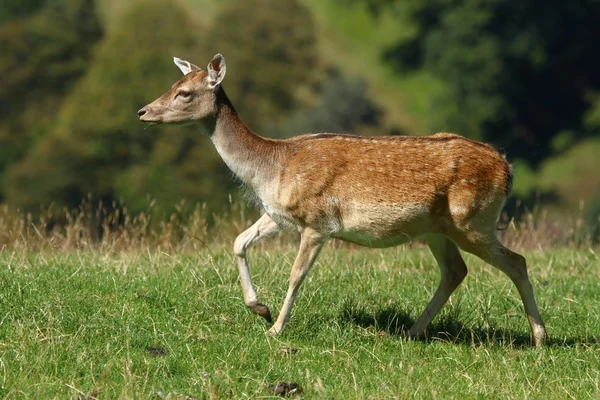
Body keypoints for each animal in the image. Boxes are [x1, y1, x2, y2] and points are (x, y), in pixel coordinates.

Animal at [137, 54, 548, 346]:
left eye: (184, 93)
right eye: (174, 83)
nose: (143, 111)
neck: (271, 169)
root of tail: (508, 169)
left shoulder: (319, 221)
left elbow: (296, 274)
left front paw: (276, 329)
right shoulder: (279, 215)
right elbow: (238, 241)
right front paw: (260, 308)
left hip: (473, 220)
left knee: (517, 262)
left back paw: (540, 337)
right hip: (437, 228)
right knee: (455, 270)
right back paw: (412, 331)